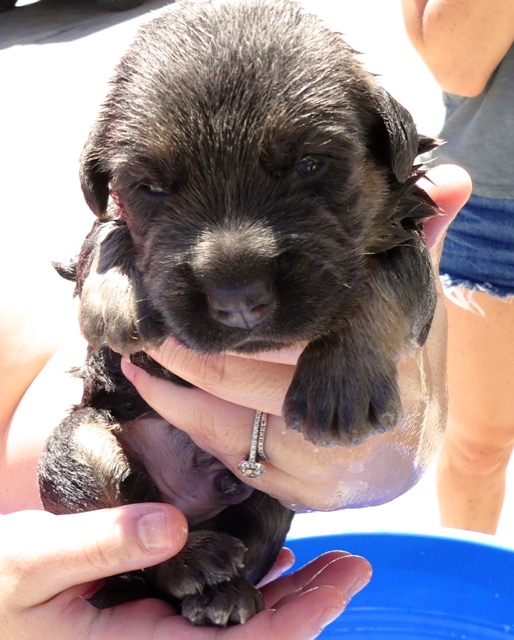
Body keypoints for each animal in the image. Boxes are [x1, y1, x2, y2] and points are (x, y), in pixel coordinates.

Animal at [38, 0, 436, 624]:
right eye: (150, 186)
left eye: (309, 165)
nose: (238, 301)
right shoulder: (103, 223)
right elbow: (103, 234)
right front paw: (115, 306)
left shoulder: (410, 247)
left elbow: (382, 285)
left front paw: (340, 386)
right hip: (78, 449)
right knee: (144, 538)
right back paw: (196, 560)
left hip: (270, 504)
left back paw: (223, 591)